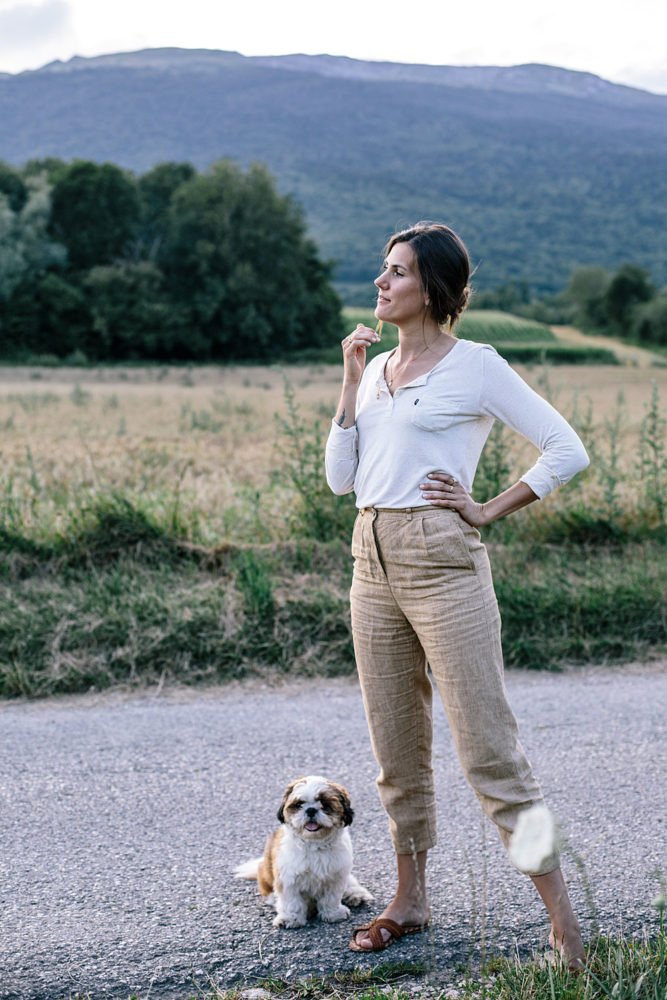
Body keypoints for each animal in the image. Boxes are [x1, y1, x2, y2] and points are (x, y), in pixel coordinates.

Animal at [235, 772, 374, 928]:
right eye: (299, 804)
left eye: (324, 804)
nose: (311, 810)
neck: (314, 844)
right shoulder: (287, 878)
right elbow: (292, 901)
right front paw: (290, 918)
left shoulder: (336, 875)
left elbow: (331, 897)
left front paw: (333, 913)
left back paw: (355, 893)